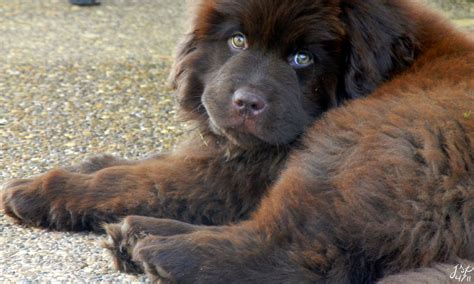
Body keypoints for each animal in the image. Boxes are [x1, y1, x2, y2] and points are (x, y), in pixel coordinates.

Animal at [1, 0, 472, 282]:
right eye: (237, 40)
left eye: (303, 58)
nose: (246, 102)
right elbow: (140, 164)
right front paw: (80, 167)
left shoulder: (235, 174)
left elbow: (141, 179)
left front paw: (38, 191)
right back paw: (138, 234)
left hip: (360, 143)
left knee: (299, 252)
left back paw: (160, 250)